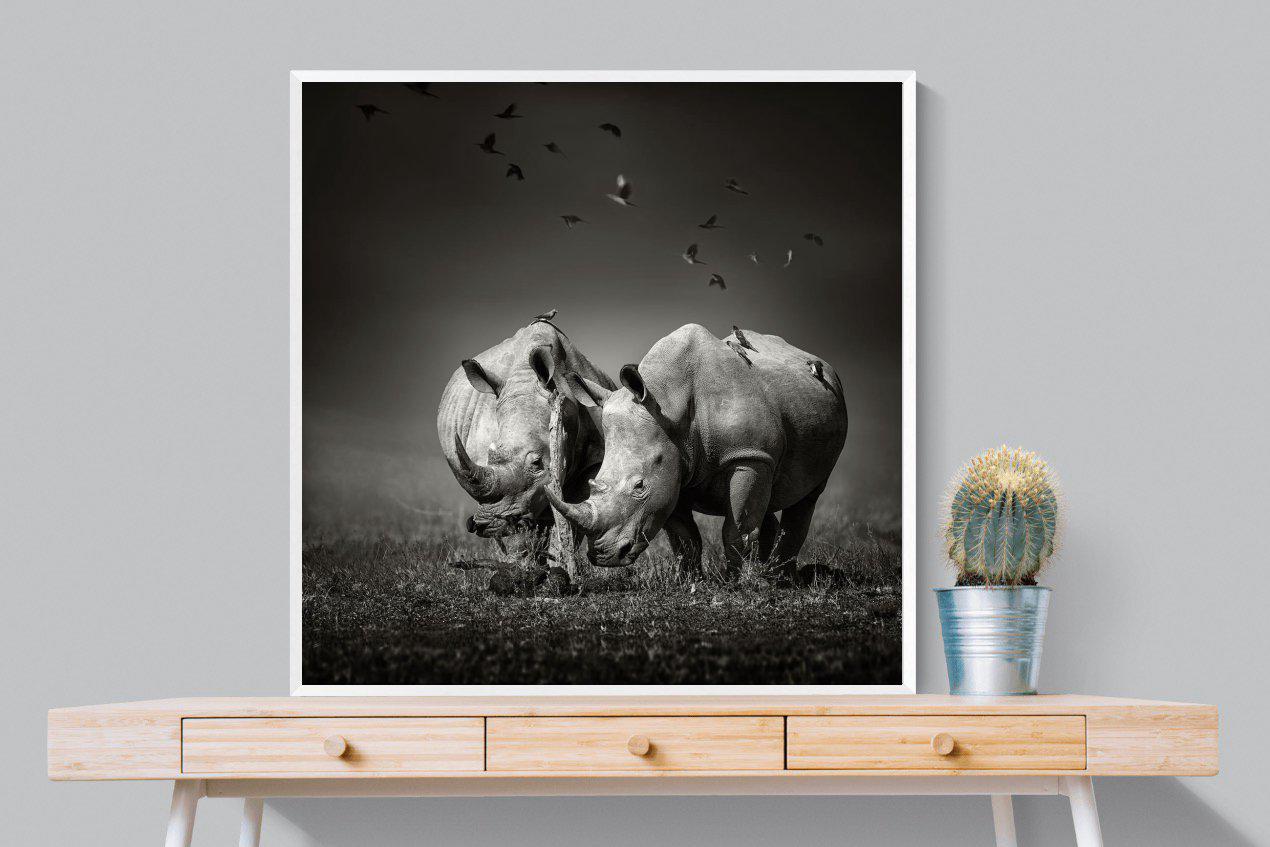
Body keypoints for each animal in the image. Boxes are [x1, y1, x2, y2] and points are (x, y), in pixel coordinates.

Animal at [545, 323, 847, 576]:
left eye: (639, 486)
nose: (603, 556)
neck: (667, 403)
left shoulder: (748, 455)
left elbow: (737, 529)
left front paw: (739, 583)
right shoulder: (673, 465)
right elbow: (685, 537)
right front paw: (690, 581)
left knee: (808, 497)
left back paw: (782, 578)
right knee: (768, 497)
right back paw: (771, 572)